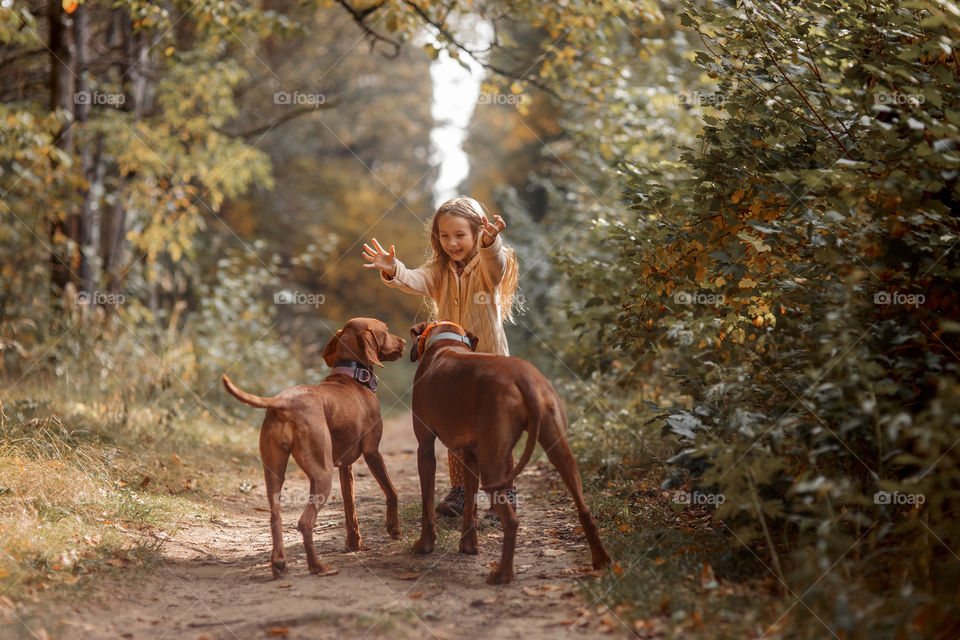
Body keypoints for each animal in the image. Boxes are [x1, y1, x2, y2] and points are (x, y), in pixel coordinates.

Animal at [222, 318, 404, 576]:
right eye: (386, 330)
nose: (405, 341)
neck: (352, 375)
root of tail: (283, 402)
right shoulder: (372, 452)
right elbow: (392, 491)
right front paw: (394, 529)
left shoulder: (344, 467)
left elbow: (350, 510)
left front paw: (354, 544)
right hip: (321, 475)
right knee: (304, 522)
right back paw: (317, 566)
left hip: (274, 474)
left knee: (275, 516)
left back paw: (279, 563)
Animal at [408, 318, 612, 584]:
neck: (445, 341)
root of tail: (523, 376)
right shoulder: (471, 455)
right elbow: (470, 507)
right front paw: (468, 546)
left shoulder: (425, 448)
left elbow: (427, 503)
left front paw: (424, 545)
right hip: (558, 449)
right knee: (585, 509)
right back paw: (602, 561)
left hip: (492, 464)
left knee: (513, 522)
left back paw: (503, 574)